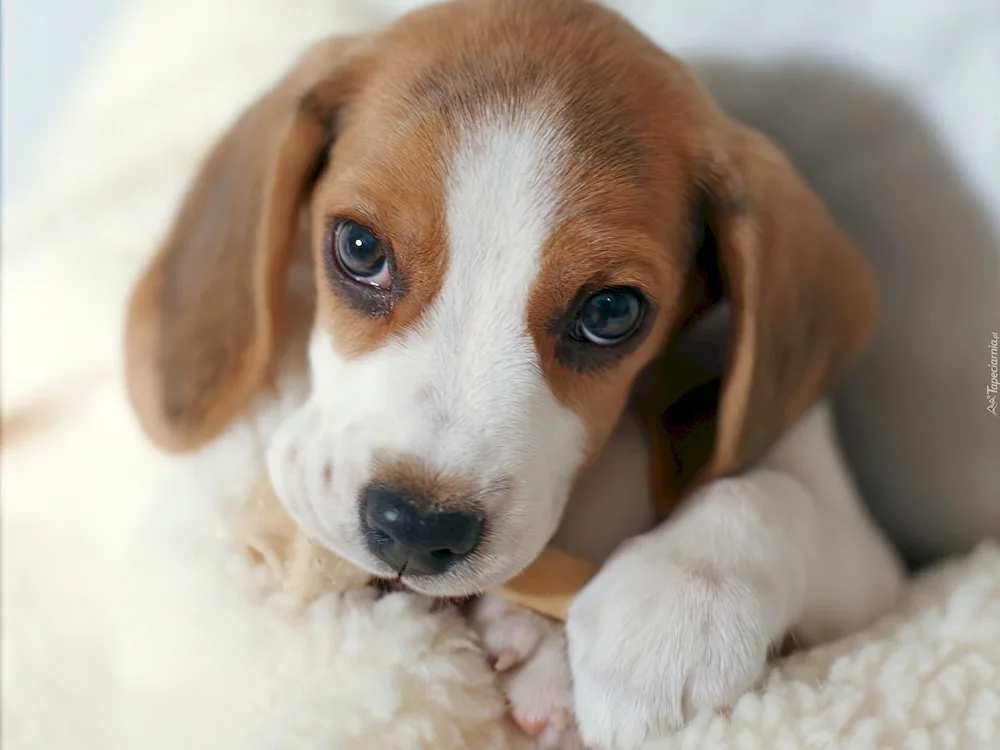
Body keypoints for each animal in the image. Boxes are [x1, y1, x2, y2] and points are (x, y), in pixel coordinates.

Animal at [125, 2, 908, 748]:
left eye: (611, 311)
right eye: (359, 247)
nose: (416, 529)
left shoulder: (876, 571)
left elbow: (767, 495)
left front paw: (674, 610)